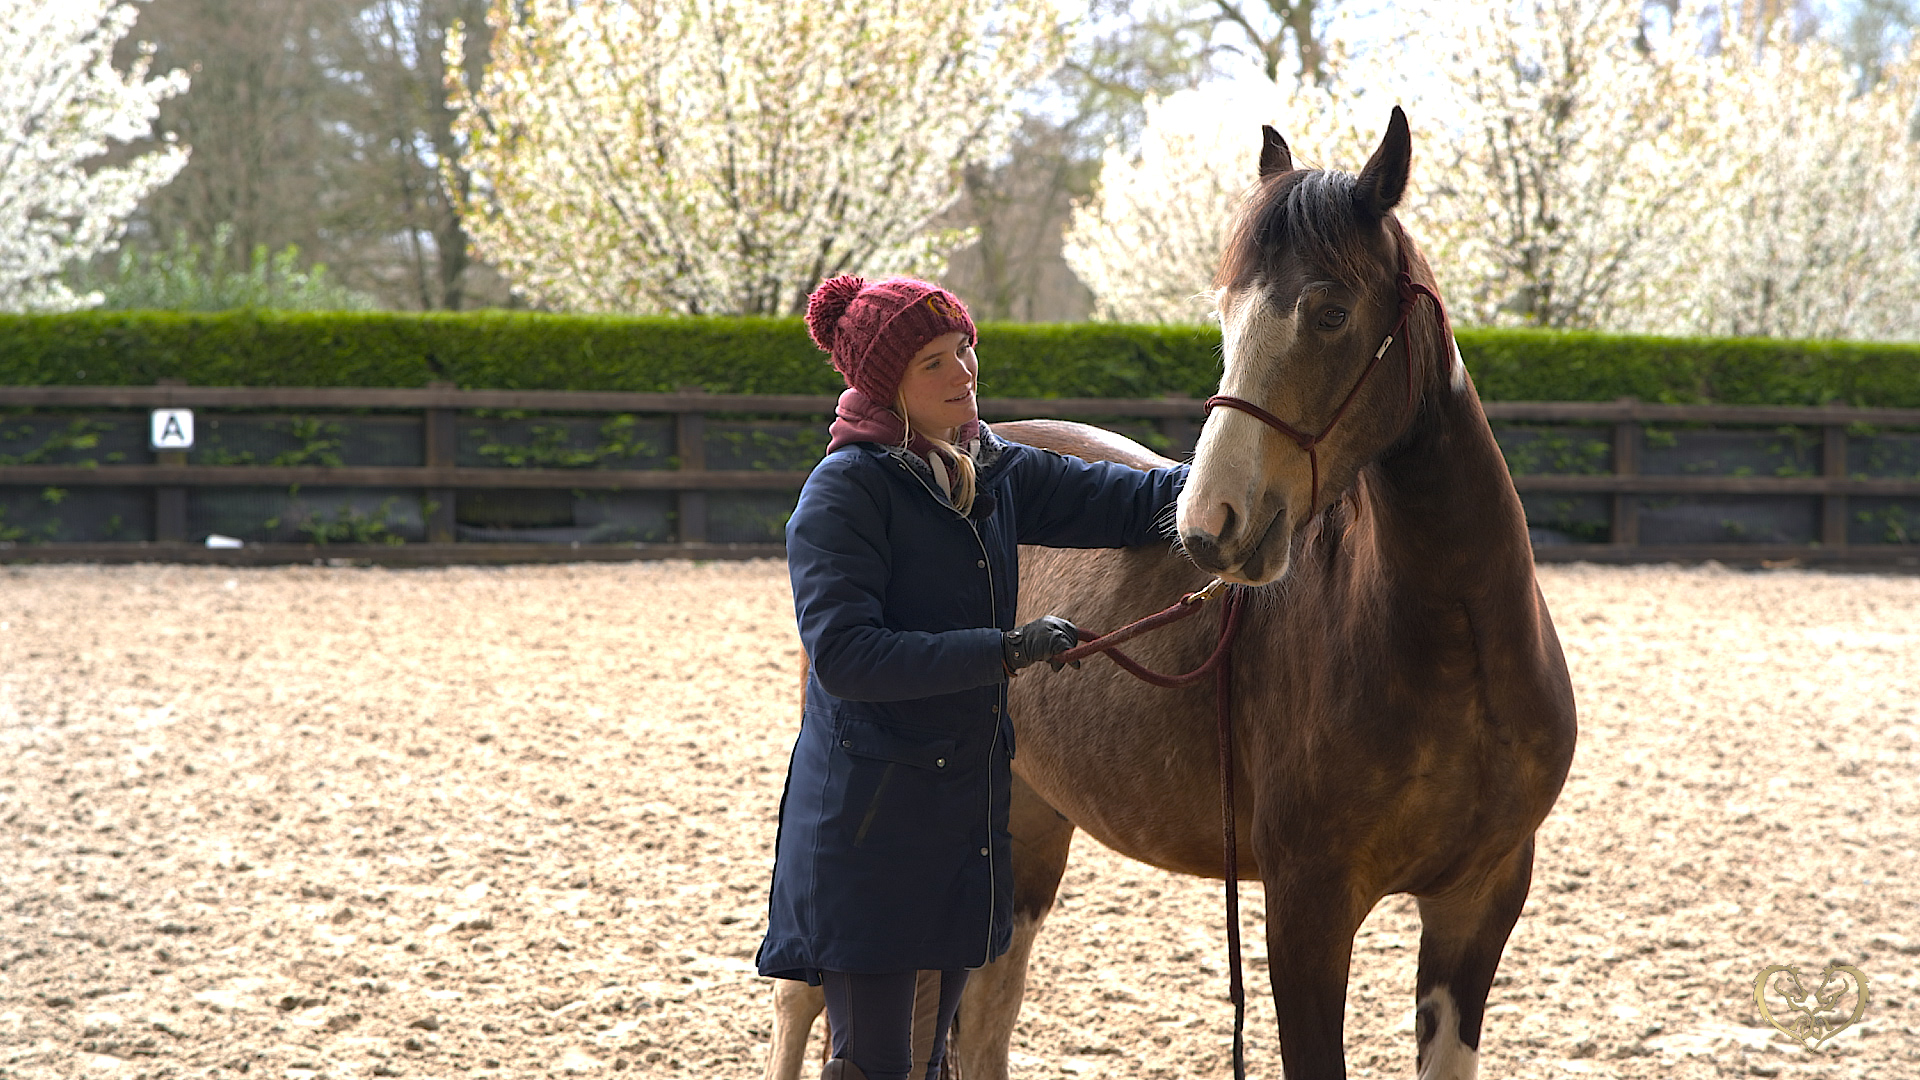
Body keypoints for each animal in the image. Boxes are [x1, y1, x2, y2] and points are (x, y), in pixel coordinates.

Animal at [765, 107, 1577, 1080]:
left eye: (1331, 311)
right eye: (1226, 312)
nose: (1207, 523)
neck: (1453, 655)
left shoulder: (1481, 900)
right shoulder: (1307, 909)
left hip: (1024, 836)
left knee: (982, 1018)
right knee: (804, 1002)